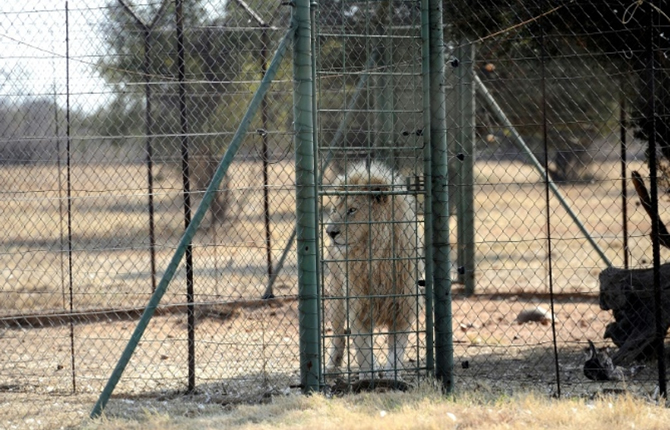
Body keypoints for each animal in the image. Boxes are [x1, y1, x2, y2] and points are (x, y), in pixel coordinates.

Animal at [324, 161, 421, 378]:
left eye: (352, 210)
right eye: (335, 209)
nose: (330, 232)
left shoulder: (403, 310)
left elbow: (396, 352)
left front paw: (392, 376)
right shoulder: (358, 309)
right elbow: (364, 351)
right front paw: (368, 377)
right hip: (336, 297)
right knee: (338, 335)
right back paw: (332, 365)